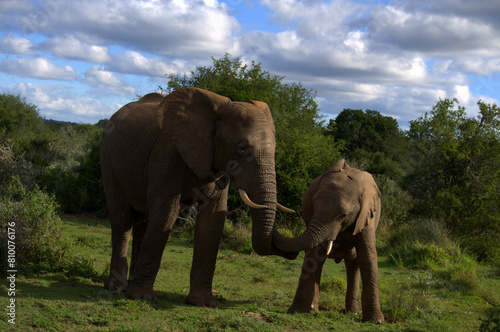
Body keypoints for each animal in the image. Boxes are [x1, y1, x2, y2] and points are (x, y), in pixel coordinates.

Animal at [102, 87, 296, 306]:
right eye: (241, 148)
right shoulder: (168, 155)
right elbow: (165, 214)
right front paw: (140, 297)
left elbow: (212, 220)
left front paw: (203, 303)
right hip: (108, 159)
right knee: (122, 218)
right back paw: (117, 287)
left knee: (142, 222)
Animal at [274, 160, 382, 322]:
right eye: (313, 205)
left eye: (343, 215)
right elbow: (315, 255)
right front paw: (297, 311)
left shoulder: (367, 215)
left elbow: (367, 256)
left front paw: (376, 321)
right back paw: (315, 309)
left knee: (353, 263)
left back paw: (353, 312)